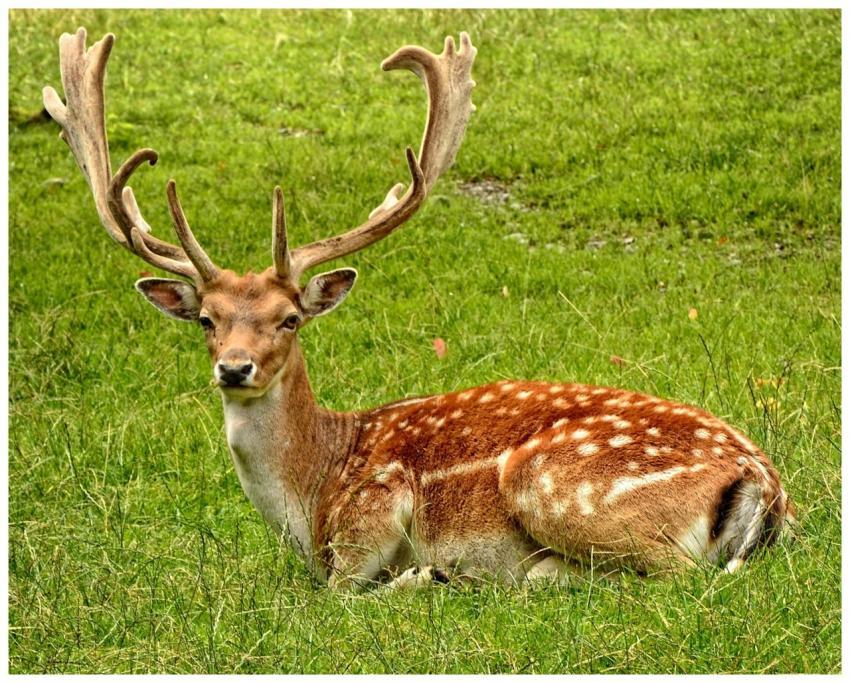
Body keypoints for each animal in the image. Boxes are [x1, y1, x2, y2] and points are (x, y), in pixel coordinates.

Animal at [43, 27, 794, 591]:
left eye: (290, 318)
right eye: (208, 319)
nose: (234, 368)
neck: (312, 494)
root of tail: (764, 481)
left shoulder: (373, 510)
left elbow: (342, 591)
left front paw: (421, 575)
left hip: (553, 482)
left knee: (674, 574)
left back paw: (505, 575)